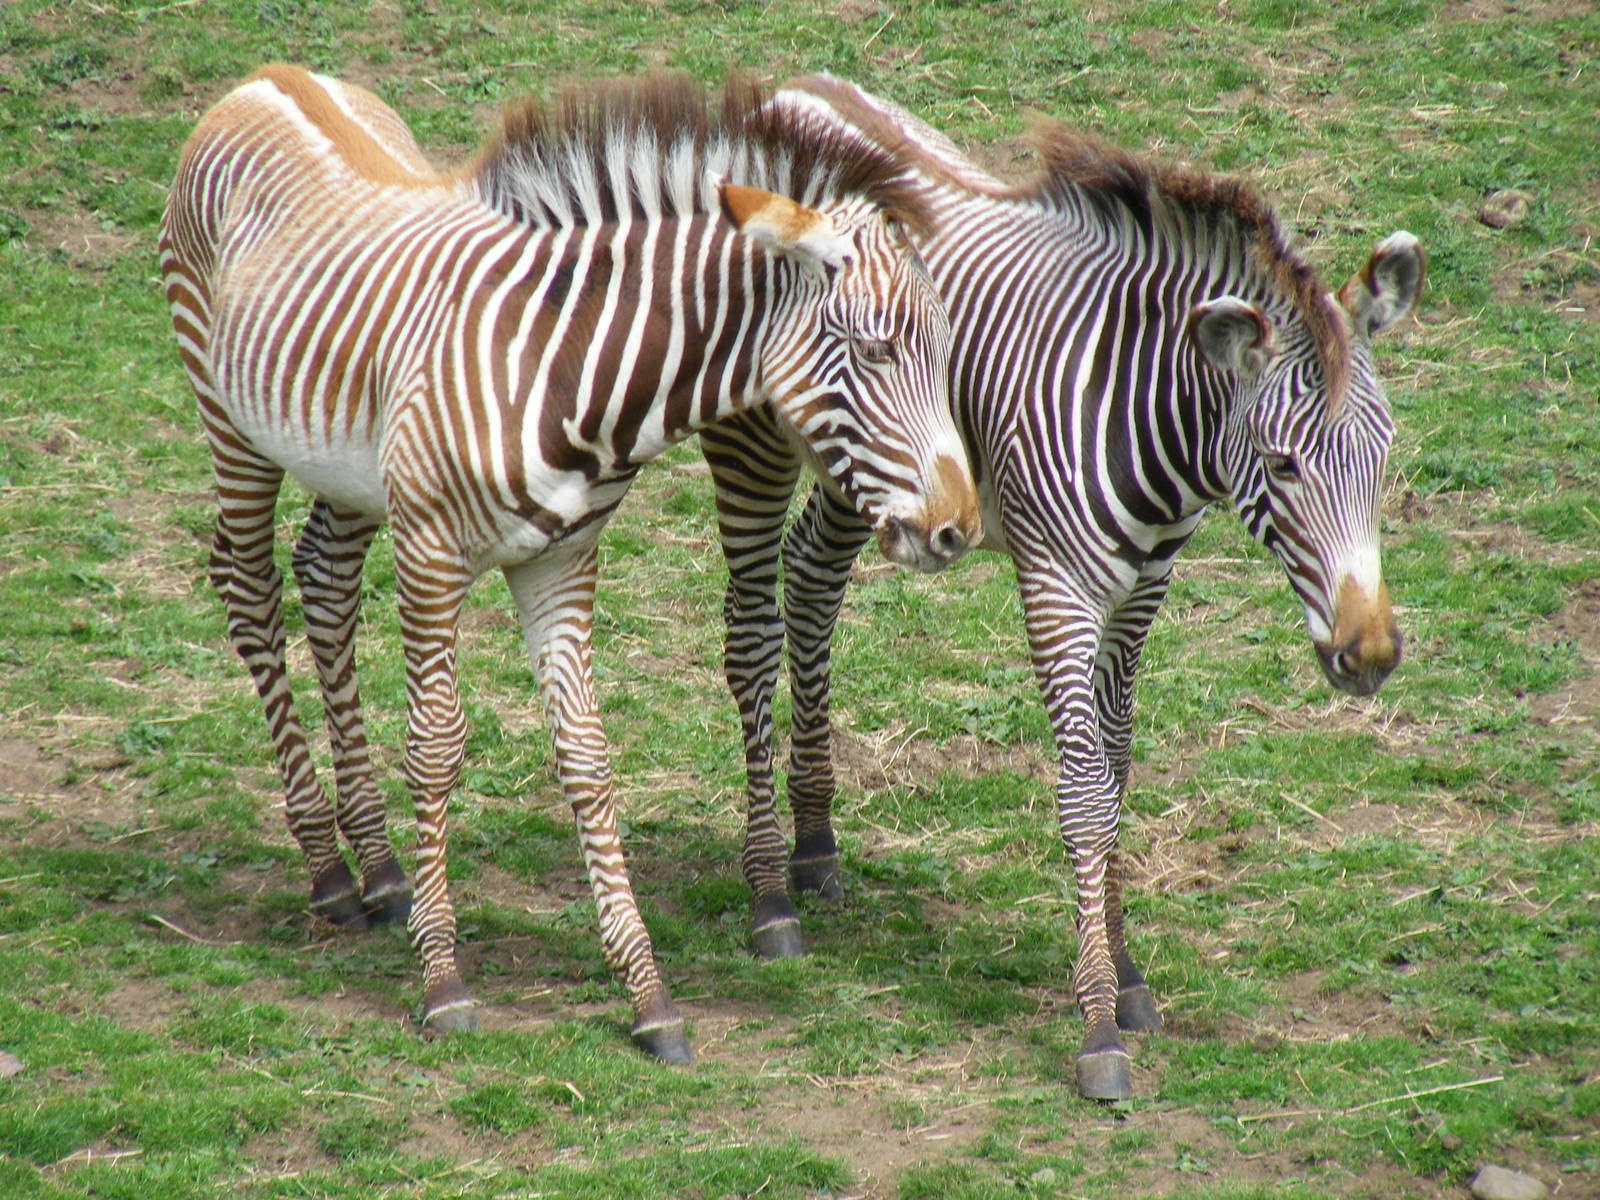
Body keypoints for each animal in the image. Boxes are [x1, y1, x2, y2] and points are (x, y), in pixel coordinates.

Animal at [159, 64, 980, 1064]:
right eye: (874, 349)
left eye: (944, 350)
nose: (958, 528)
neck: (565, 369)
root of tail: (267, 80)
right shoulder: (431, 554)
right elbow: (435, 749)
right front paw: (444, 981)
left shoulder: (562, 559)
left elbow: (587, 757)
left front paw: (649, 996)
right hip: (228, 417)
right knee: (249, 590)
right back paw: (326, 867)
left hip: (348, 466)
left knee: (324, 579)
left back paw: (380, 867)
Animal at [700, 75, 1423, 1099]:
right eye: (1282, 465)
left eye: (1385, 450)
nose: (1371, 654)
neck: (1151, 423)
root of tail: (788, 88)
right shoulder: (1057, 590)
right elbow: (1083, 792)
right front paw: (1097, 1024)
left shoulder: (1142, 595)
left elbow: (1117, 775)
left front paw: (1128, 973)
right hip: (756, 439)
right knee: (751, 628)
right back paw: (768, 893)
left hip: (872, 471)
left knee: (810, 579)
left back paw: (814, 846)